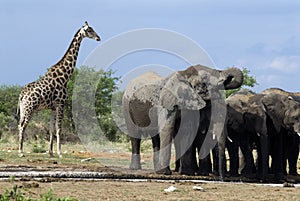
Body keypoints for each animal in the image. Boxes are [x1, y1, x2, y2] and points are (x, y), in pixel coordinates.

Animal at [17, 21, 101, 157]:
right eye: (89, 30)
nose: (98, 37)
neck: (65, 76)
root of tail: (22, 95)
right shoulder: (61, 104)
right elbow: (59, 129)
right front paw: (60, 153)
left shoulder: (52, 107)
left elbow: (51, 129)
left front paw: (51, 152)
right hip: (30, 108)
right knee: (23, 125)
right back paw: (20, 152)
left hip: (23, 109)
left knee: (19, 124)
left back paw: (20, 150)